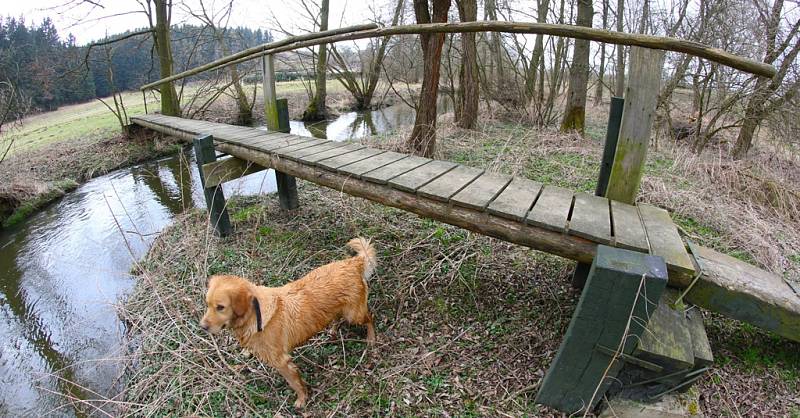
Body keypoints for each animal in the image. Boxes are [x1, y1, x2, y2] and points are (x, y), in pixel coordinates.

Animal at [198, 238, 376, 408]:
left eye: (220, 307)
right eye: (207, 304)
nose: (203, 327)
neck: (256, 315)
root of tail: (353, 263)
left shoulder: (282, 362)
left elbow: (294, 383)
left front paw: (302, 399)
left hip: (354, 314)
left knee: (370, 317)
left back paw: (371, 338)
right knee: (338, 317)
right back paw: (332, 330)